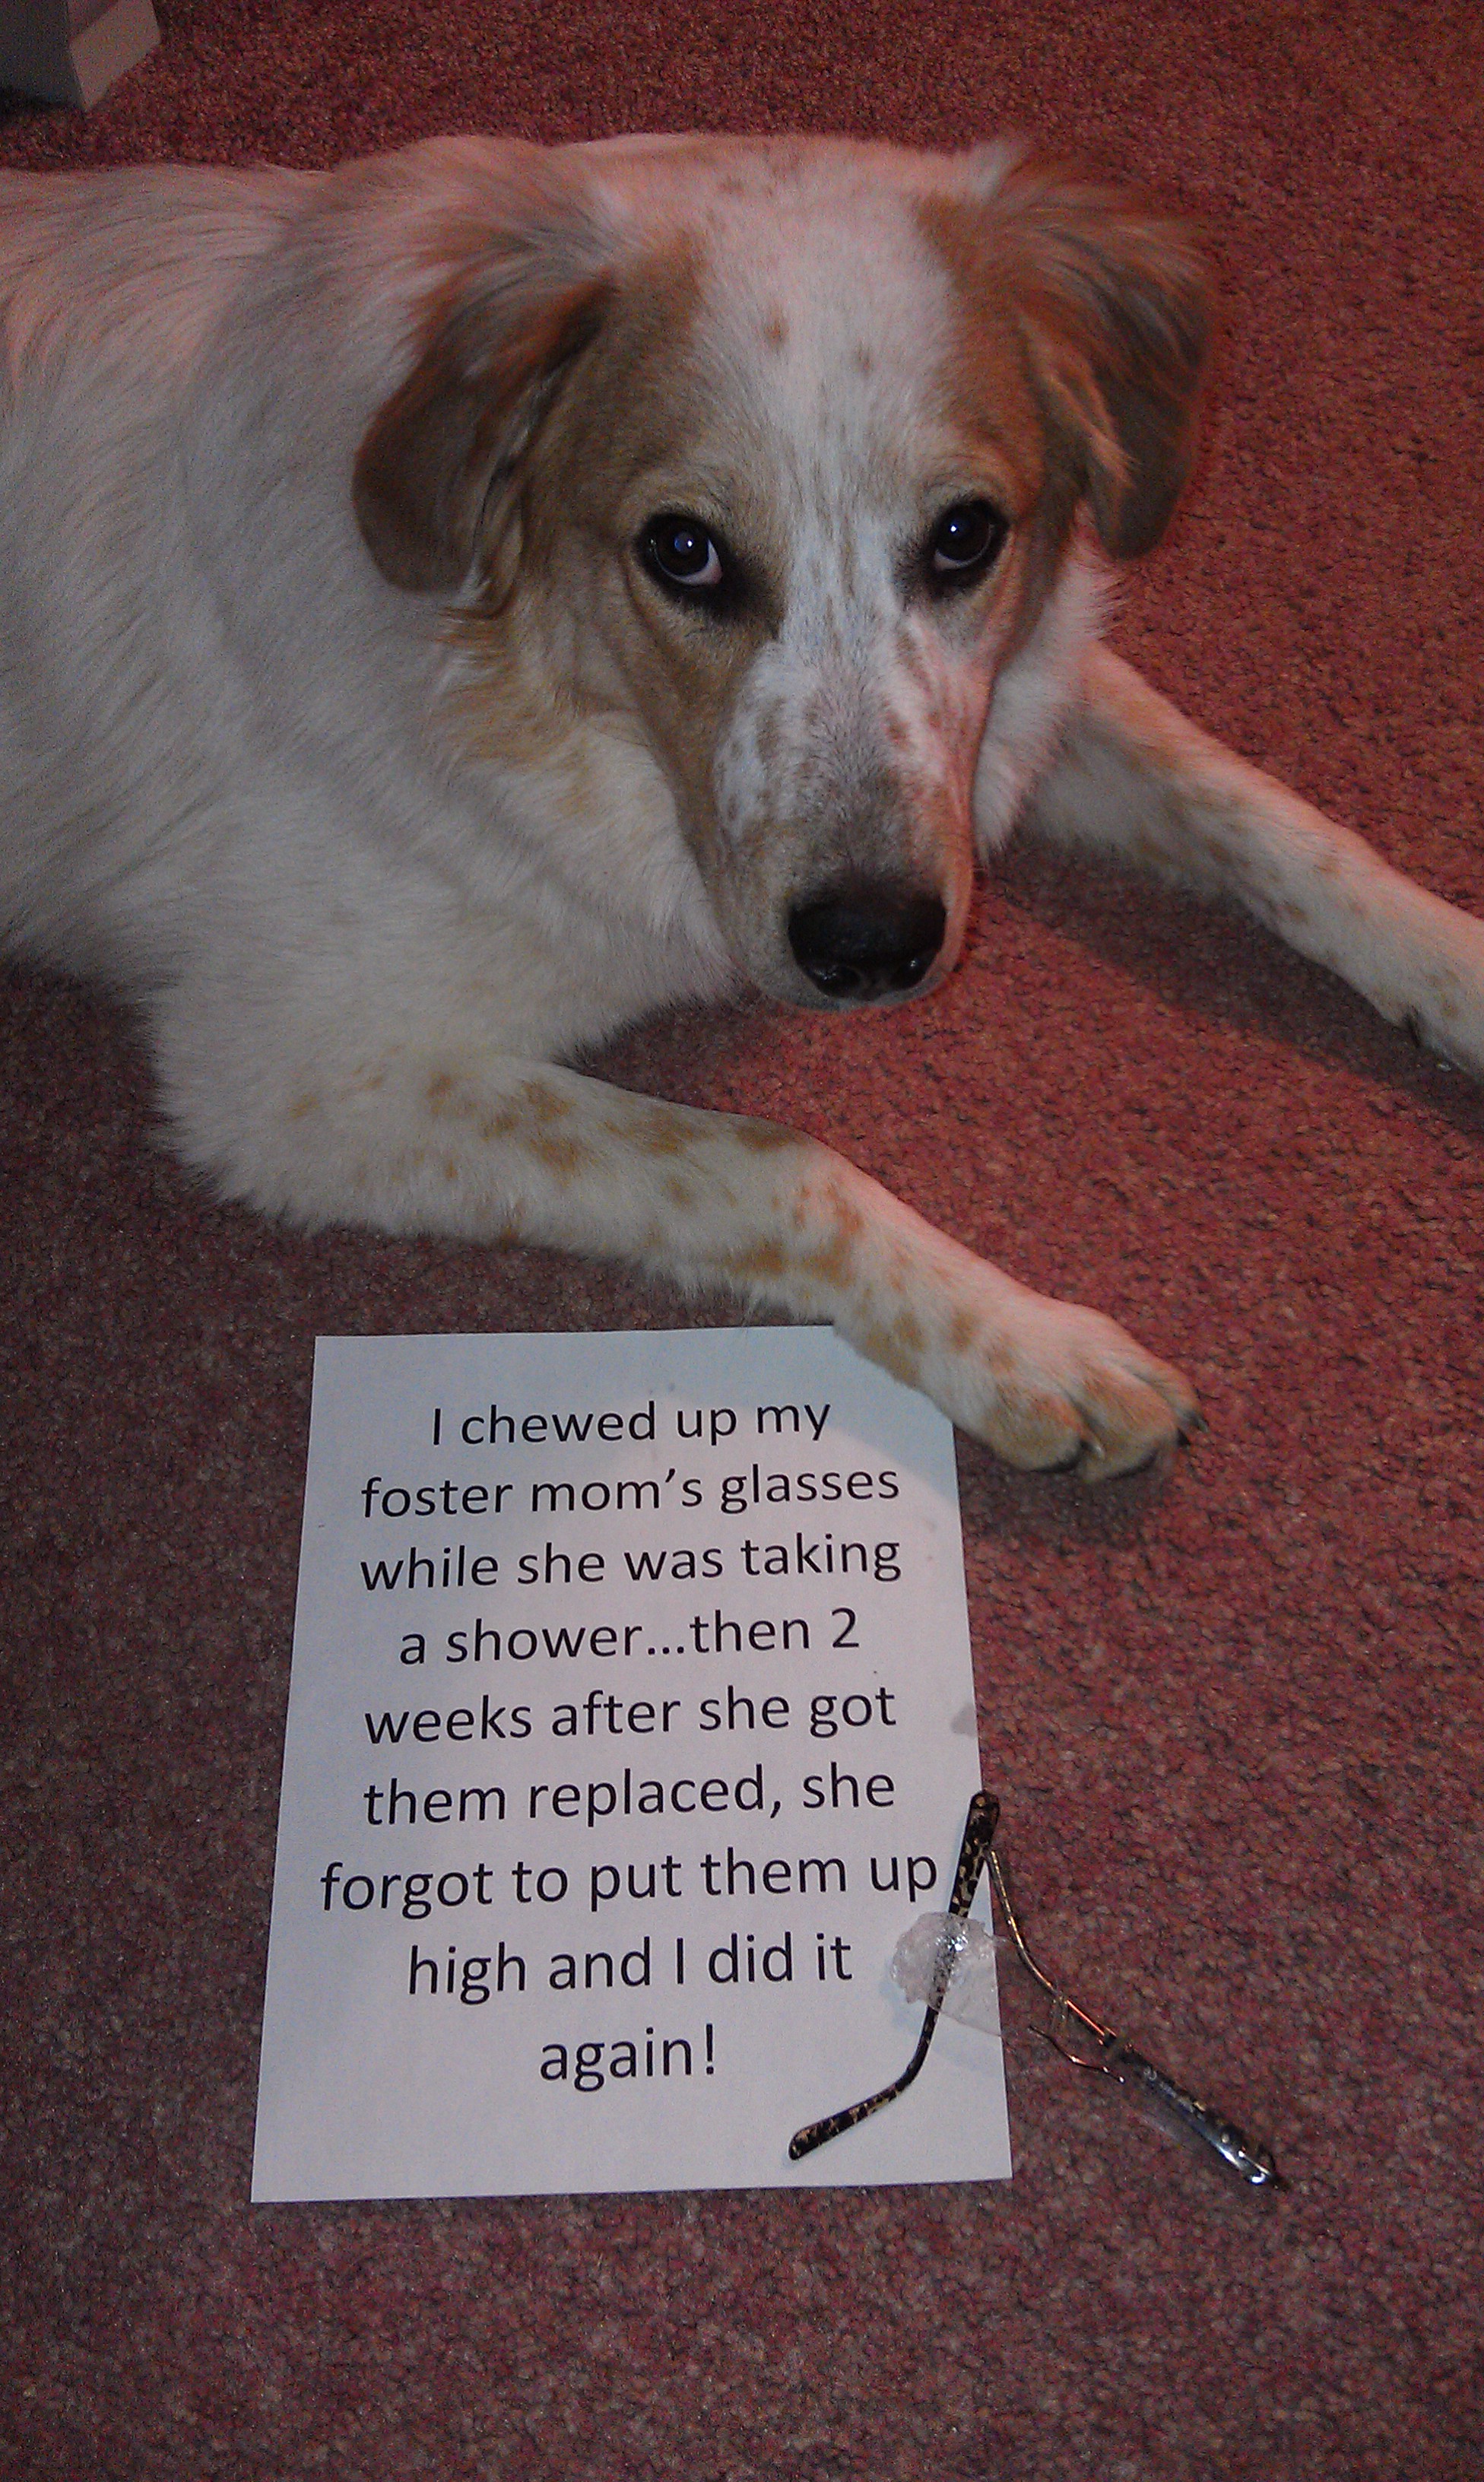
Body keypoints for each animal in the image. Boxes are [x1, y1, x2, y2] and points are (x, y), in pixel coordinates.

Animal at [2, 135, 1484, 1469]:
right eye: (683, 550)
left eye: (965, 535)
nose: (873, 946)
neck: (538, 691)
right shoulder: (289, 1075)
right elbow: (769, 1159)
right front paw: (1020, 1341)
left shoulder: (1009, 711)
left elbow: (1262, 810)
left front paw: (1455, 965)